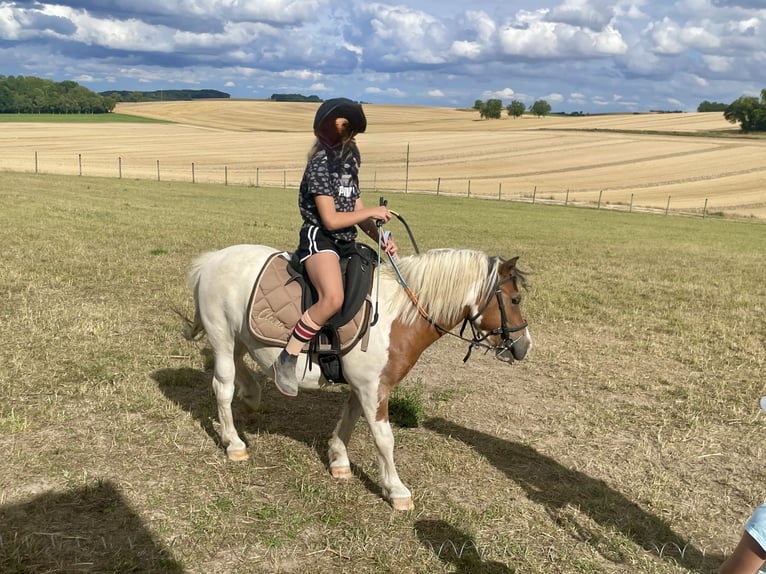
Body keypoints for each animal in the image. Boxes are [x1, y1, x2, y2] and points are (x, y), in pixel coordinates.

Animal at [181, 244, 531, 510]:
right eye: (515, 300)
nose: (525, 346)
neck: (397, 316)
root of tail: (211, 259)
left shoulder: (363, 386)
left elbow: (349, 420)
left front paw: (338, 460)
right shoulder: (374, 388)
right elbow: (384, 439)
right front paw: (396, 490)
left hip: (240, 337)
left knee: (240, 367)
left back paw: (252, 394)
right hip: (222, 336)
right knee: (223, 387)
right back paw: (234, 442)